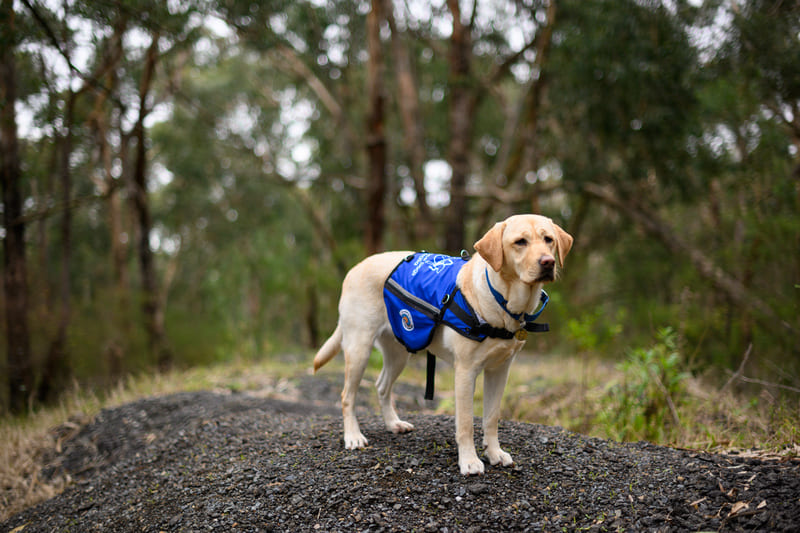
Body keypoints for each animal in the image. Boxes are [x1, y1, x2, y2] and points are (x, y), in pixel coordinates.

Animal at [310, 213, 568, 474]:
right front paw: (469, 461)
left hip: (399, 352)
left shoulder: (499, 370)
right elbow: (466, 423)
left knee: (382, 386)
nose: (548, 262)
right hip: (359, 349)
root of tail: (355, 268)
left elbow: (491, 418)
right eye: (520, 242)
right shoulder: (465, 371)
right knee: (347, 396)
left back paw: (393, 423)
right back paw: (353, 436)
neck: (502, 301)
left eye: (549, 240)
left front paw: (494, 453)